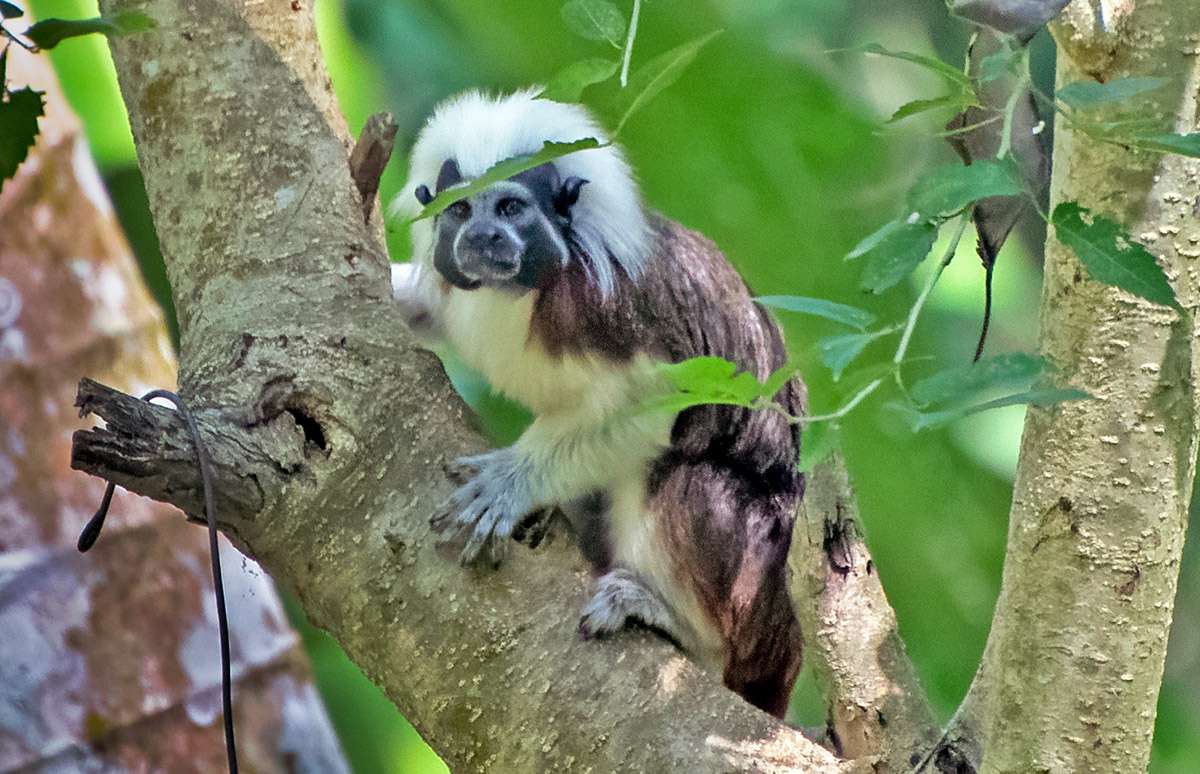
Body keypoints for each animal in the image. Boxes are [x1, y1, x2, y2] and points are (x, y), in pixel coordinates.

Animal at [390, 89, 805, 718]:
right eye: (461, 211)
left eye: (510, 208)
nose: (483, 238)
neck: (521, 294)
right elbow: (422, 304)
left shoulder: (611, 310)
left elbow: (657, 404)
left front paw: (510, 484)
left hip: (757, 591)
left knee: (683, 478)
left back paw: (677, 622)